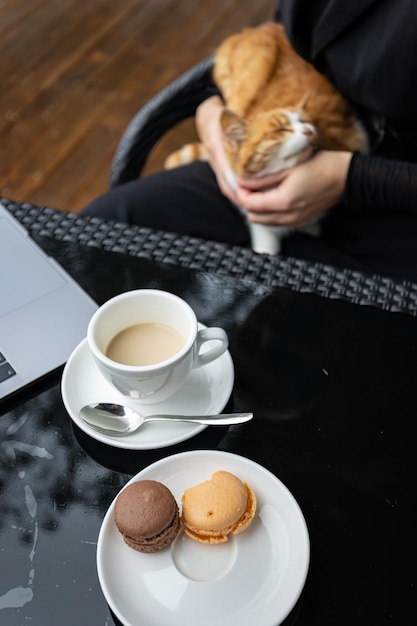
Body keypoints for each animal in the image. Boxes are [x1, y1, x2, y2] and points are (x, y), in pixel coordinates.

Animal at [164, 23, 366, 254]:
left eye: (305, 121)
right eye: (280, 129)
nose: (308, 131)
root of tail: (263, 27)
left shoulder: (356, 135)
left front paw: (310, 227)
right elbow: (265, 244)